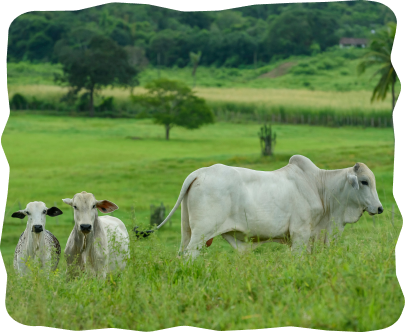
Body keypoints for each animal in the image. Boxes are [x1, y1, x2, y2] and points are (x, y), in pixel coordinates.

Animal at [135, 154, 382, 258]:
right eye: (364, 181)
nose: (379, 208)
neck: (319, 187)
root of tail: (199, 173)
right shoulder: (300, 234)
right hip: (201, 233)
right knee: (189, 256)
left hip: (187, 231)